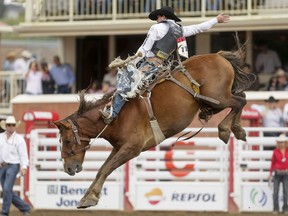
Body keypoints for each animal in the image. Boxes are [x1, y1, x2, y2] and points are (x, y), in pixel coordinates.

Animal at [53, 43, 254, 208]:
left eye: (68, 140)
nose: (68, 168)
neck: (114, 117)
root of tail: (218, 56)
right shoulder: (119, 147)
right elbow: (103, 168)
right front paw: (87, 197)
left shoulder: (132, 148)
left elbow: (107, 168)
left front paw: (90, 198)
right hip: (216, 100)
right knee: (242, 97)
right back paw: (237, 129)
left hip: (218, 98)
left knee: (239, 102)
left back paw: (227, 130)